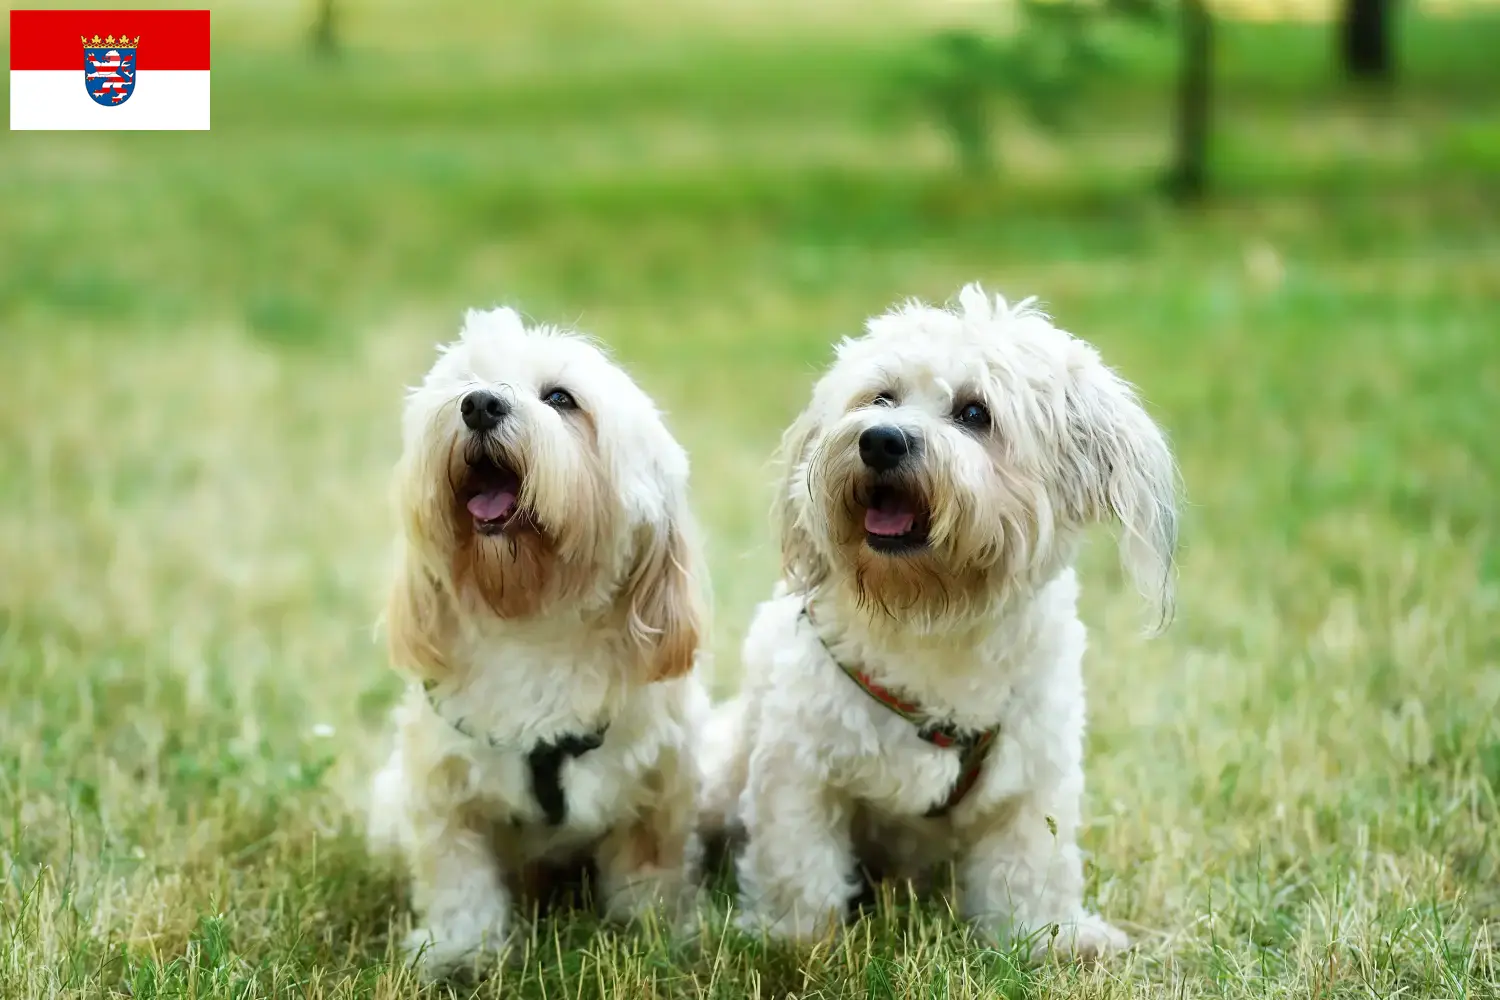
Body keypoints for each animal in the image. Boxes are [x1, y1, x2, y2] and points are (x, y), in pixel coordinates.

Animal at [367, 308, 708, 983]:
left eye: (560, 399)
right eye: (465, 383)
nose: (479, 404)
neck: (533, 625)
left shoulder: (659, 785)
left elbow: (651, 866)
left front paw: (659, 933)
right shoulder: (443, 792)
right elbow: (458, 876)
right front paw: (460, 950)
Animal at [702, 284, 1182, 959]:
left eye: (976, 413)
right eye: (881, 397)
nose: (880, 440)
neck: (932, 612)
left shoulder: (1034, 776)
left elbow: (1030, 865)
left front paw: (1049, 937)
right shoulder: (799, 765)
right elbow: (799, 861)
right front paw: (794, 940)